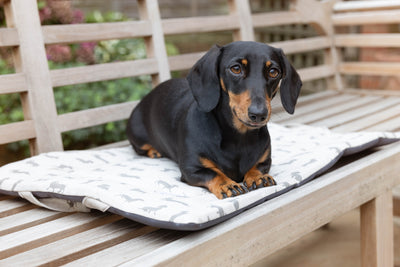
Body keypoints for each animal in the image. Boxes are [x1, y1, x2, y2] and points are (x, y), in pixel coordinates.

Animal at [126, 40, 302, 199]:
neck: (238, 138)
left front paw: (258, 177)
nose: (259, 114)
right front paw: (227, 184)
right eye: (236, 68)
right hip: (138, 135)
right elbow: (214, 173)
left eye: (273, 71)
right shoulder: (192, 169)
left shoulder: (265, 161)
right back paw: (154, 151)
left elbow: (256, 167)